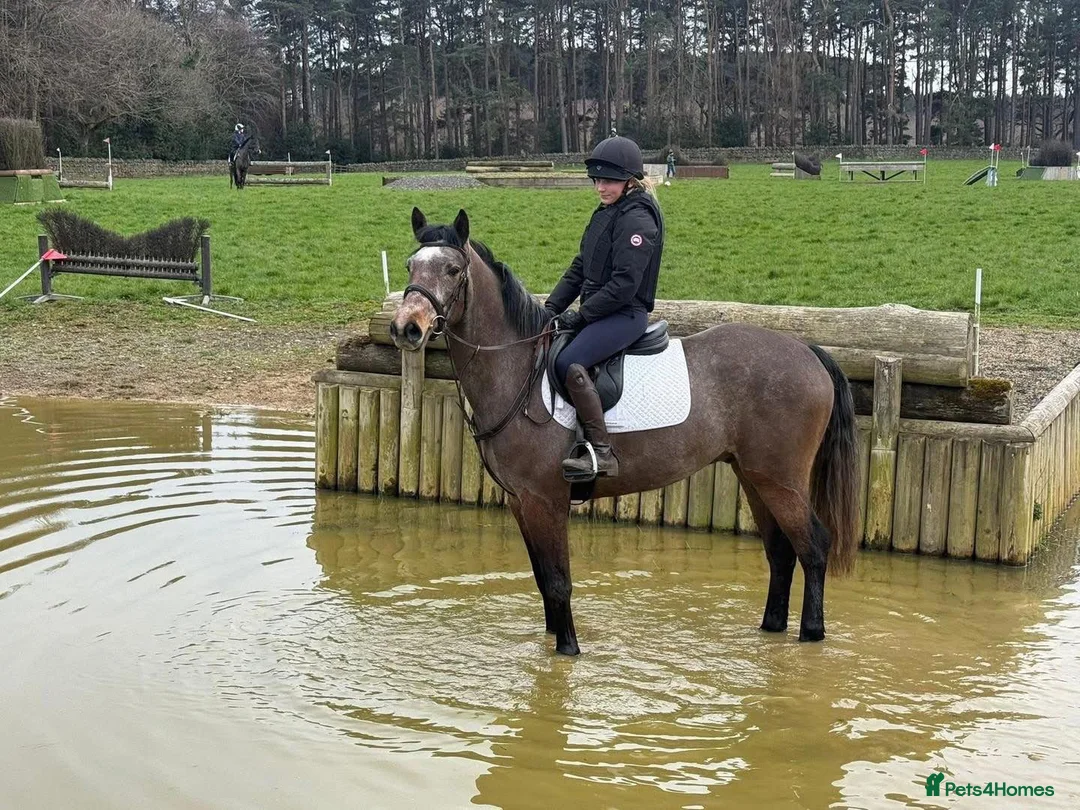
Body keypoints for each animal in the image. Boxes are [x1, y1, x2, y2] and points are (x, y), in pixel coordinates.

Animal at [391, 207, 860, 656]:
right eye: (411, 265)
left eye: (453, 269)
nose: (406, 328)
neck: (519, 369)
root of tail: (809, 352)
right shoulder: (521, 502)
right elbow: (544, 581)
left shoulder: (545, 500)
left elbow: (559, 582)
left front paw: (568, 650)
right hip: (753, 476)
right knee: (781, 552)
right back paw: (771, 630)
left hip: (780, 479)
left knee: (814, 547)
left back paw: (811, 634)